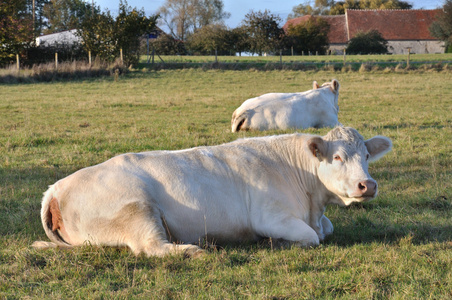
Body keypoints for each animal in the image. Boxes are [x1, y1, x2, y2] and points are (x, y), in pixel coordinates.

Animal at [32, 127, 392, 258]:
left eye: (366, 155)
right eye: (338, 157)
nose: (368, 185)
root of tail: (56, 188)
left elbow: (325, 230)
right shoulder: (272, 216)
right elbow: (312, 237)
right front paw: (275, 242)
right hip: (137, 210)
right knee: (151, 247)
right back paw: (195, 250)